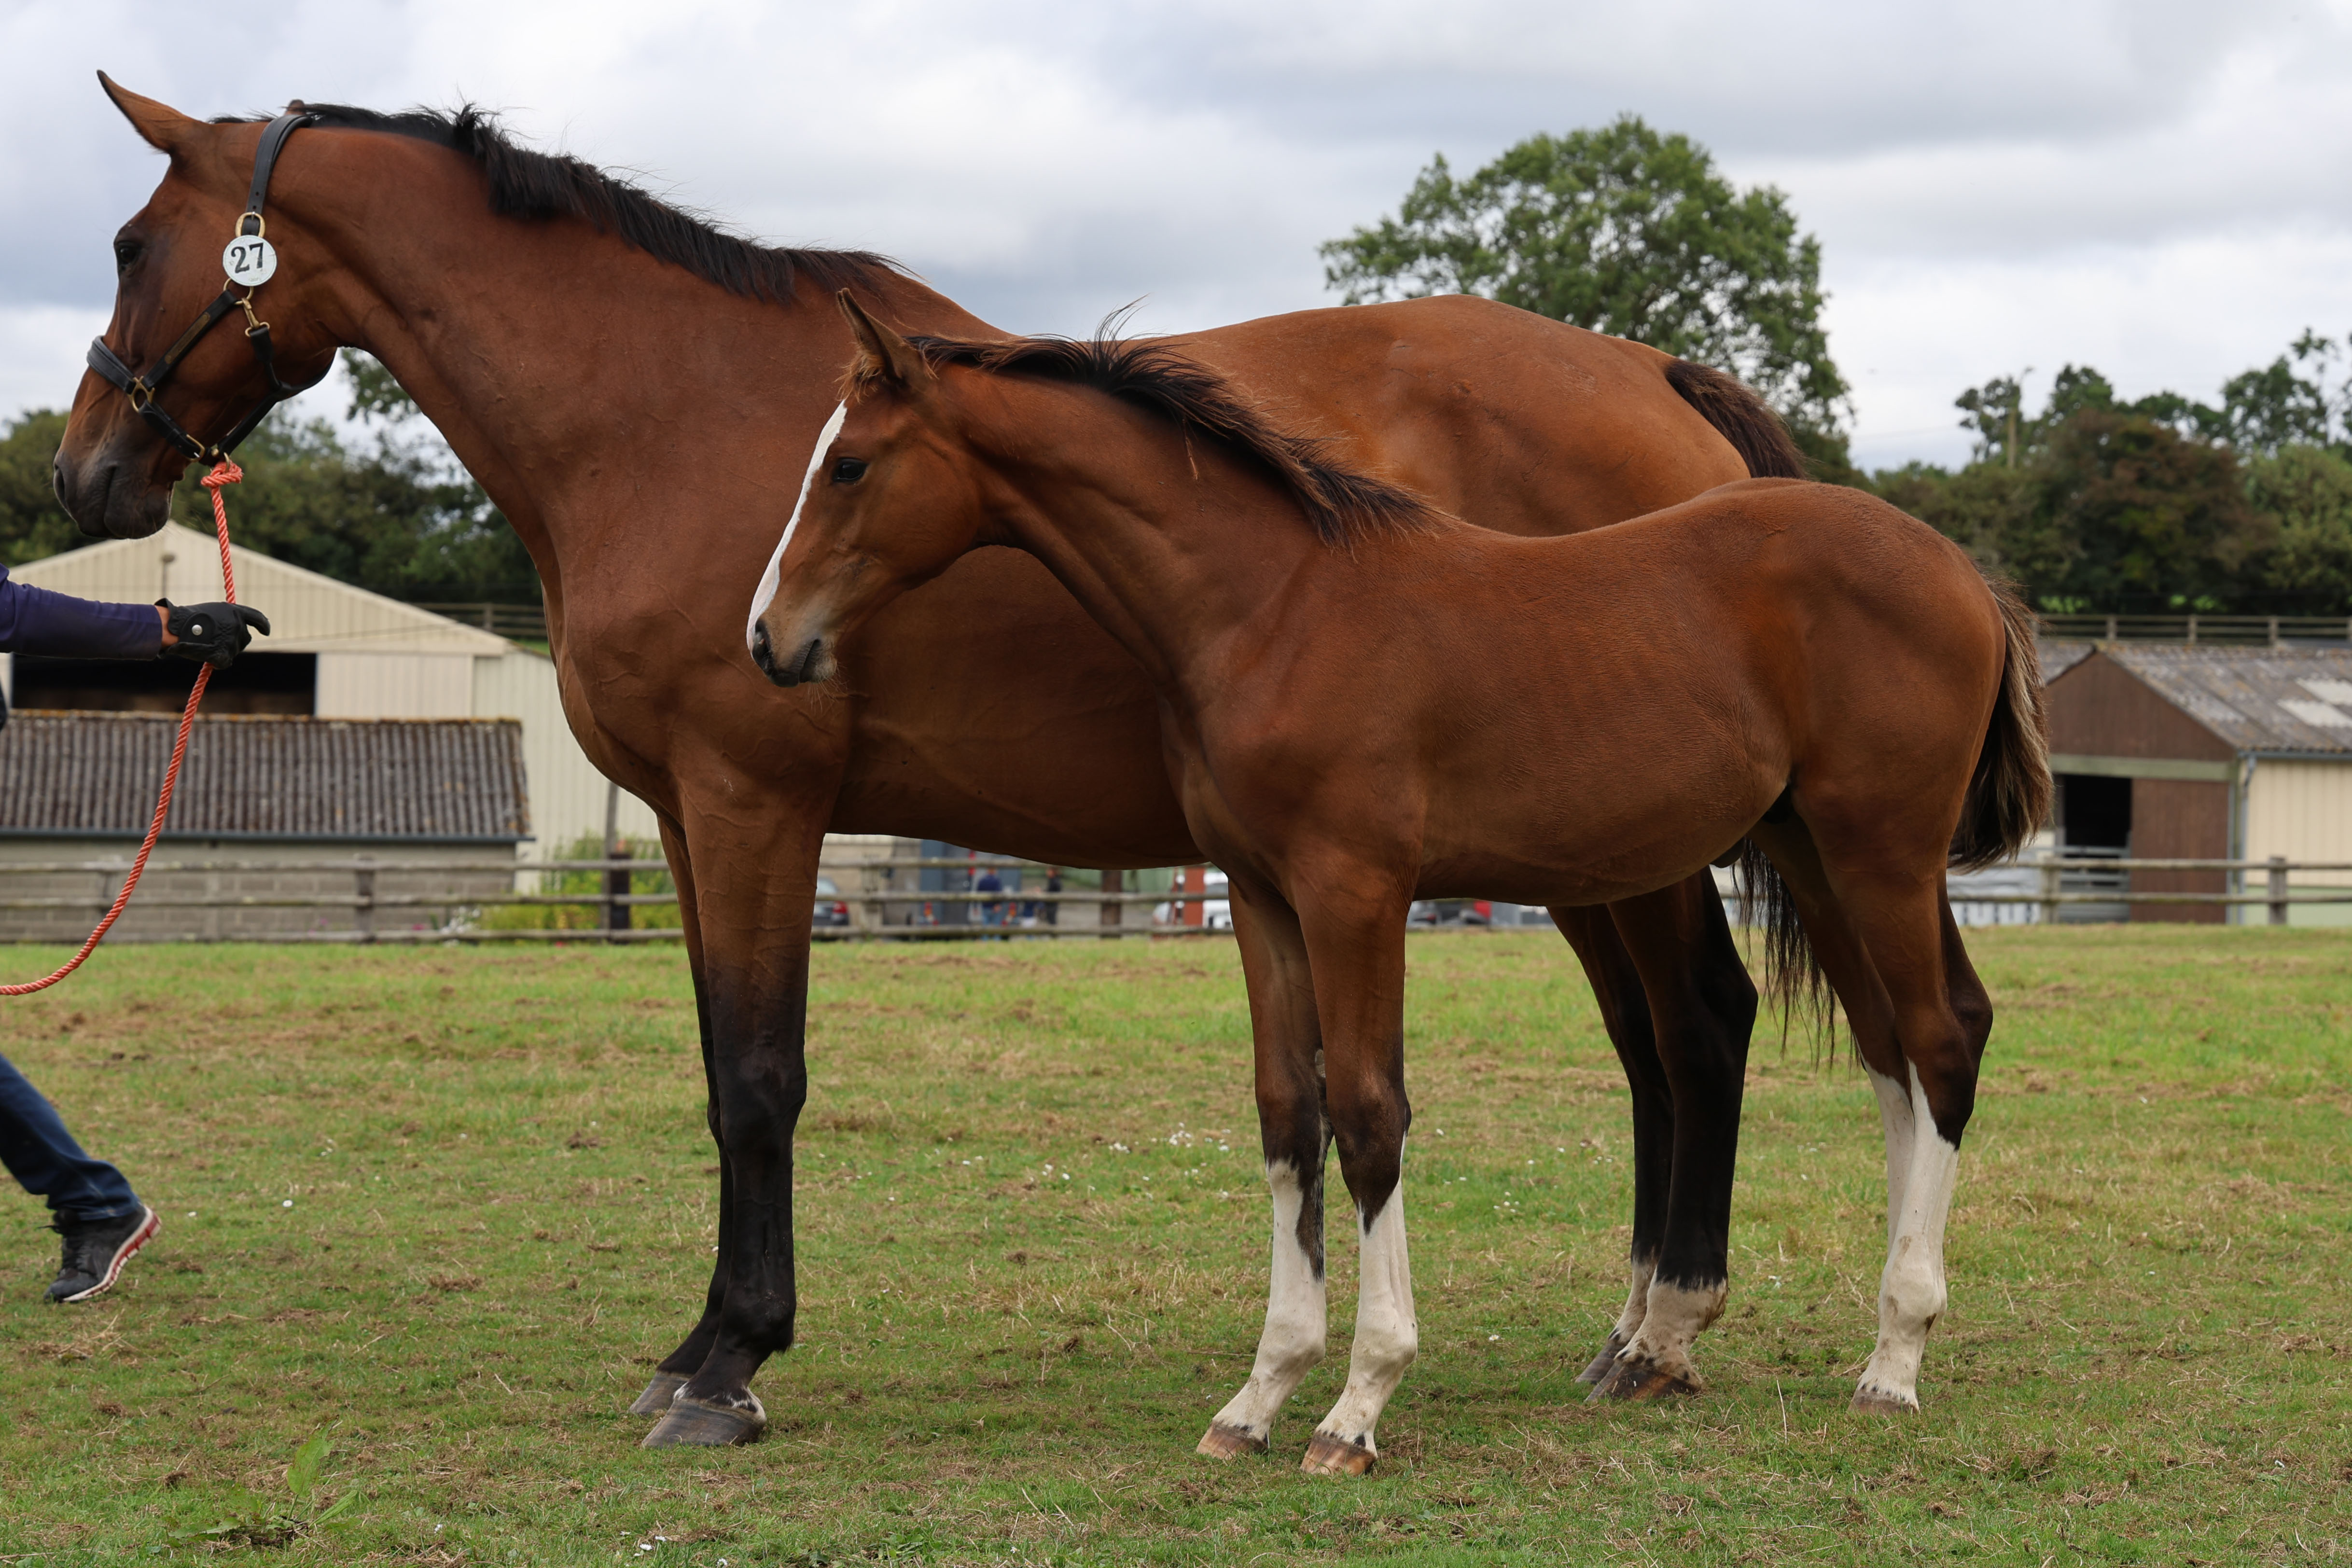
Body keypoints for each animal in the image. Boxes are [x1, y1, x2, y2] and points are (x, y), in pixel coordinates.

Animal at [60, 76, 1793, 1449]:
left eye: (131, 247)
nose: (85, 467)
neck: (659, 413)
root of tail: (1653, 376)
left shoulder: (755, 805)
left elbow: (761, 1081)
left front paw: (730, 1367)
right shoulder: (682, 825)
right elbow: (720, 1069)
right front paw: (703, 1341)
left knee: (1699, 1024)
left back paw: (1664, 1327)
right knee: (1657, 1045)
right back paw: (1636, 1326)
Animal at [749, 298, 2050, 1473]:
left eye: (850, 464)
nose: (769, 638)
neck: (1273, 607)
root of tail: (1960, 569)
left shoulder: (1356, 892)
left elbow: (1371, 1117)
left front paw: (1357, 1404)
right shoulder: (1260, 898)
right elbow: (1288, 1117)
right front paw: (1259, 1395)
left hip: (1880, 849)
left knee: (1937, 1038)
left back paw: (1892, 1360)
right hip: (1815, 852)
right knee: (1895, 1047)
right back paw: (1861, 1334)